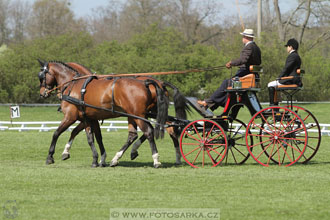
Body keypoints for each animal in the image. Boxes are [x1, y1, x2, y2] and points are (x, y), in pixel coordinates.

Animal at [37, 60, 169, 167]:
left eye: (42, 76)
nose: (42, 93)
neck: (72, 85)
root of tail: (146, 83)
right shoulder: (89, 119)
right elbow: (93, 138)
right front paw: (98, 159)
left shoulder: (70, 117)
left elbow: (56, 133)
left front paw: (50, 157)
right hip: (134, 116)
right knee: (134, 135)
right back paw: (117, 158)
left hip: (138, 116)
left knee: (149, 132)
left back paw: (156, 160)